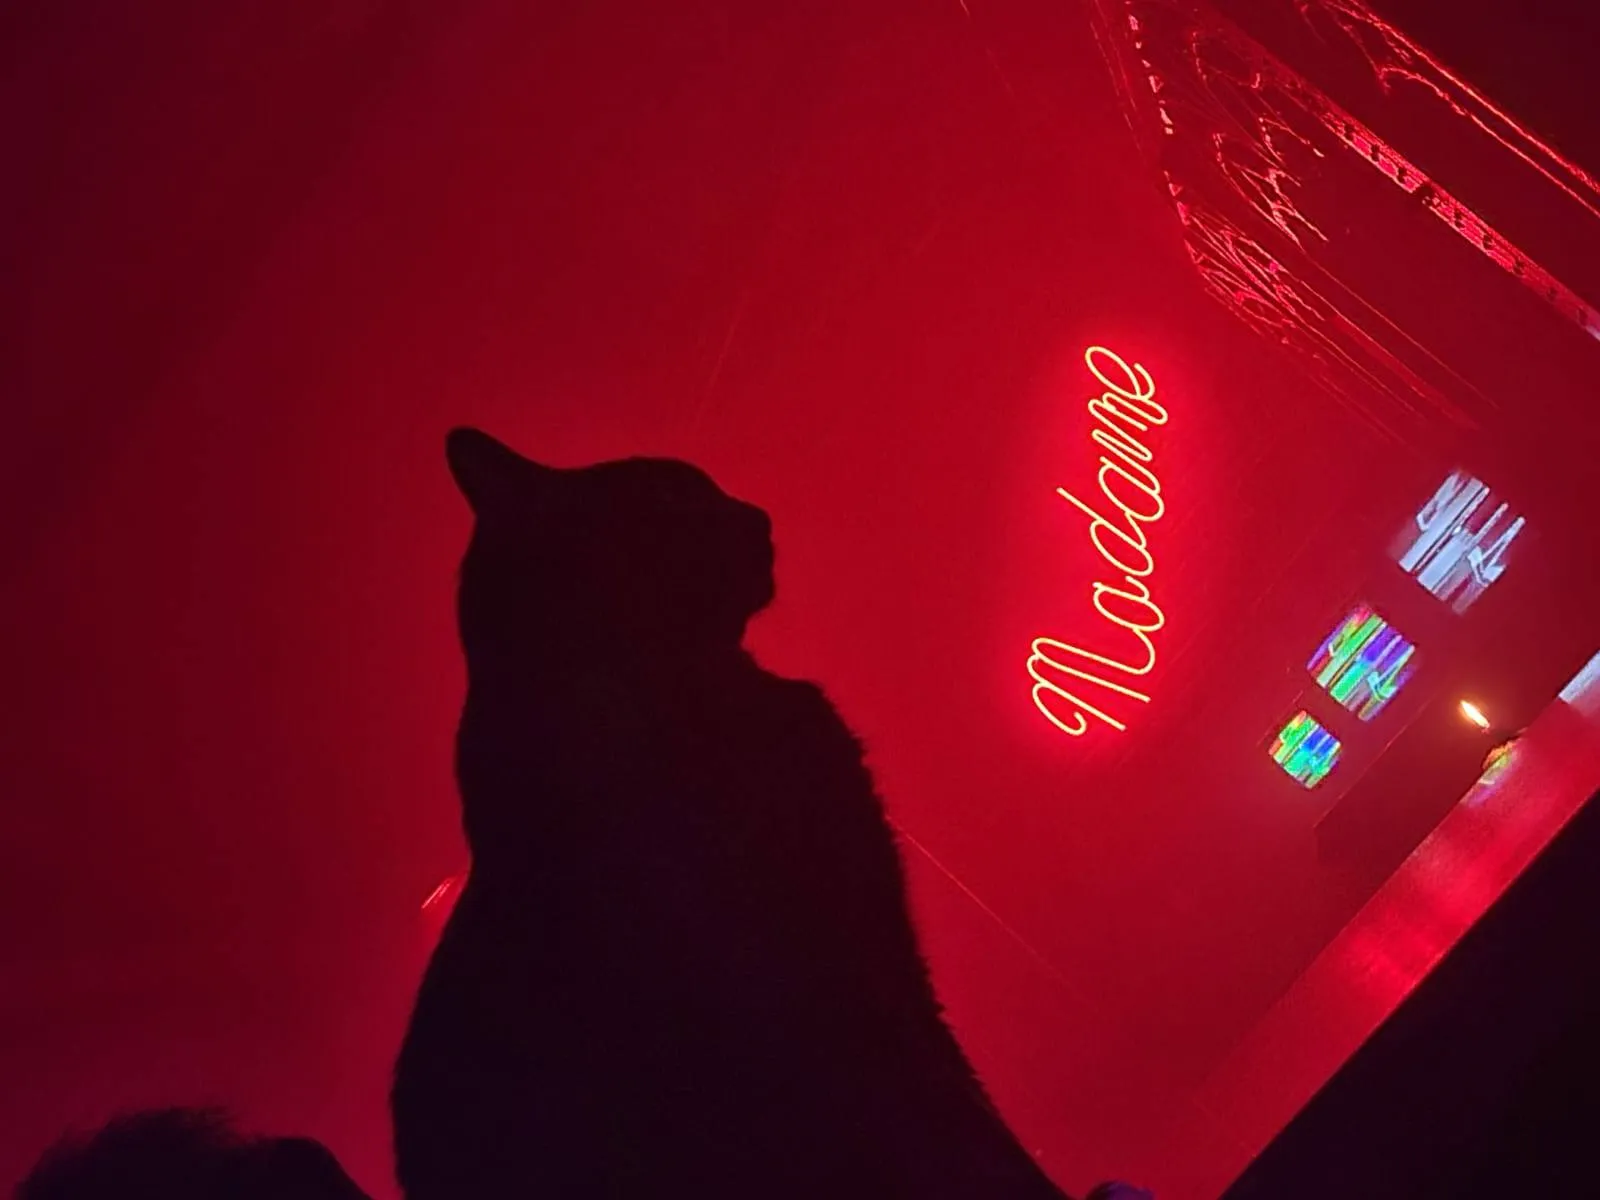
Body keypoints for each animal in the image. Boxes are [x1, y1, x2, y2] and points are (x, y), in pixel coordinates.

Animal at [390, 427, 1084, 1199]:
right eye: (671, 492)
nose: (761, 518)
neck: (678, 675)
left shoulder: (886, 952)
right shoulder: (802, 978)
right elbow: (957, 1124)